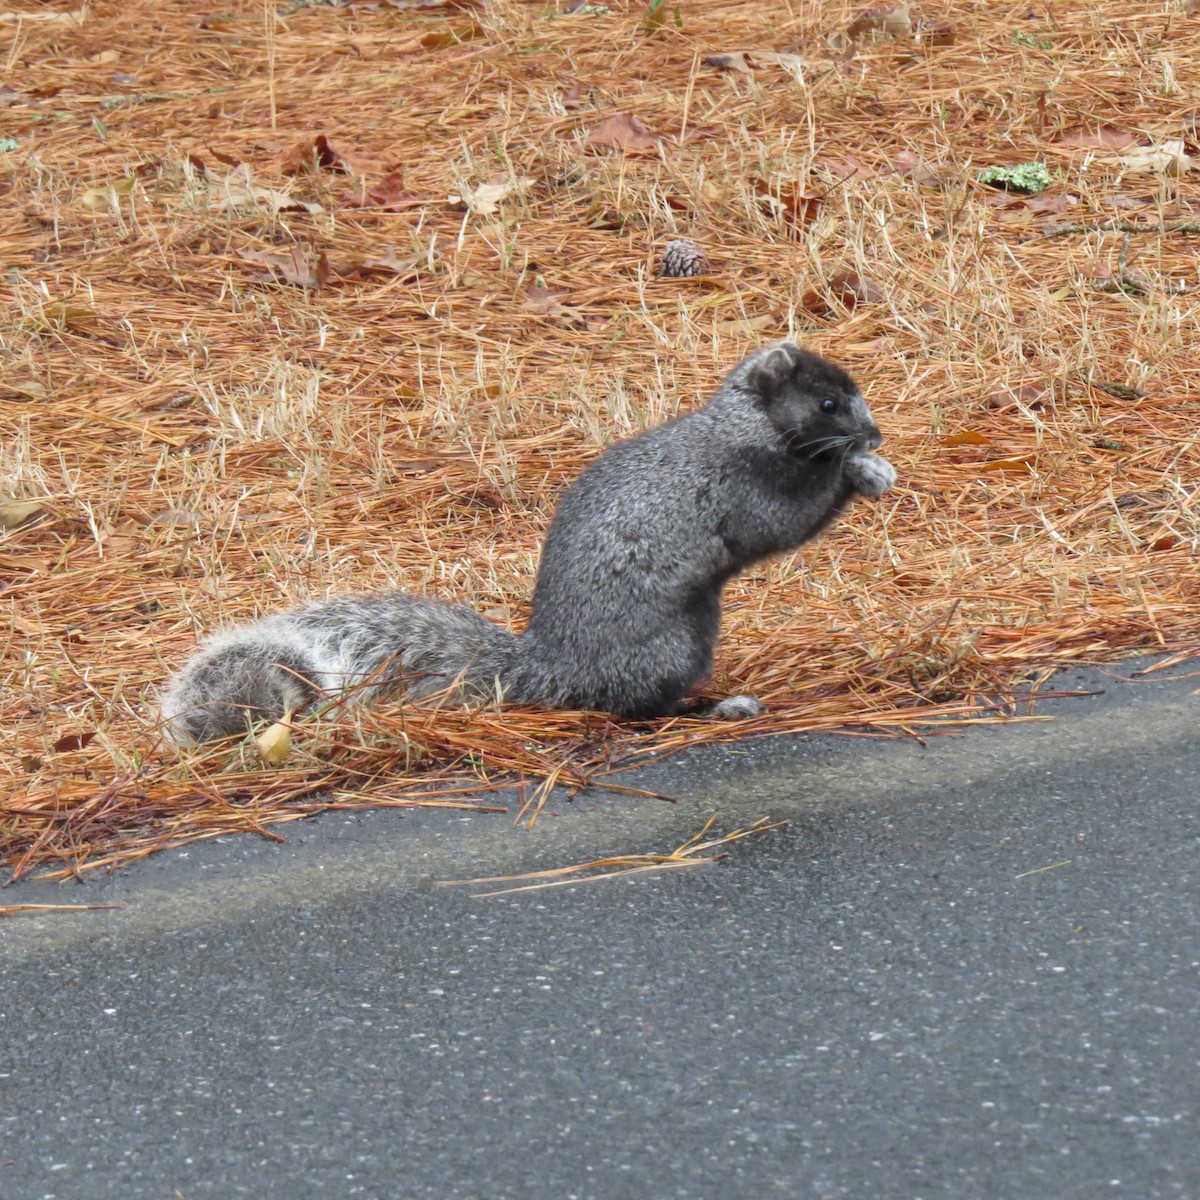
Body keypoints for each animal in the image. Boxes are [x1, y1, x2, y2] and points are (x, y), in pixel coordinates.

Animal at [161, 342, 897, 743]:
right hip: (667, 645)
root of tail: (557, 666)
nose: (876, 434)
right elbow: (780, 521)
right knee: (636, 710)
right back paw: (712, 708)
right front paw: (854, 474)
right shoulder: (734, 485)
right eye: (827, 404)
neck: (741, 429)